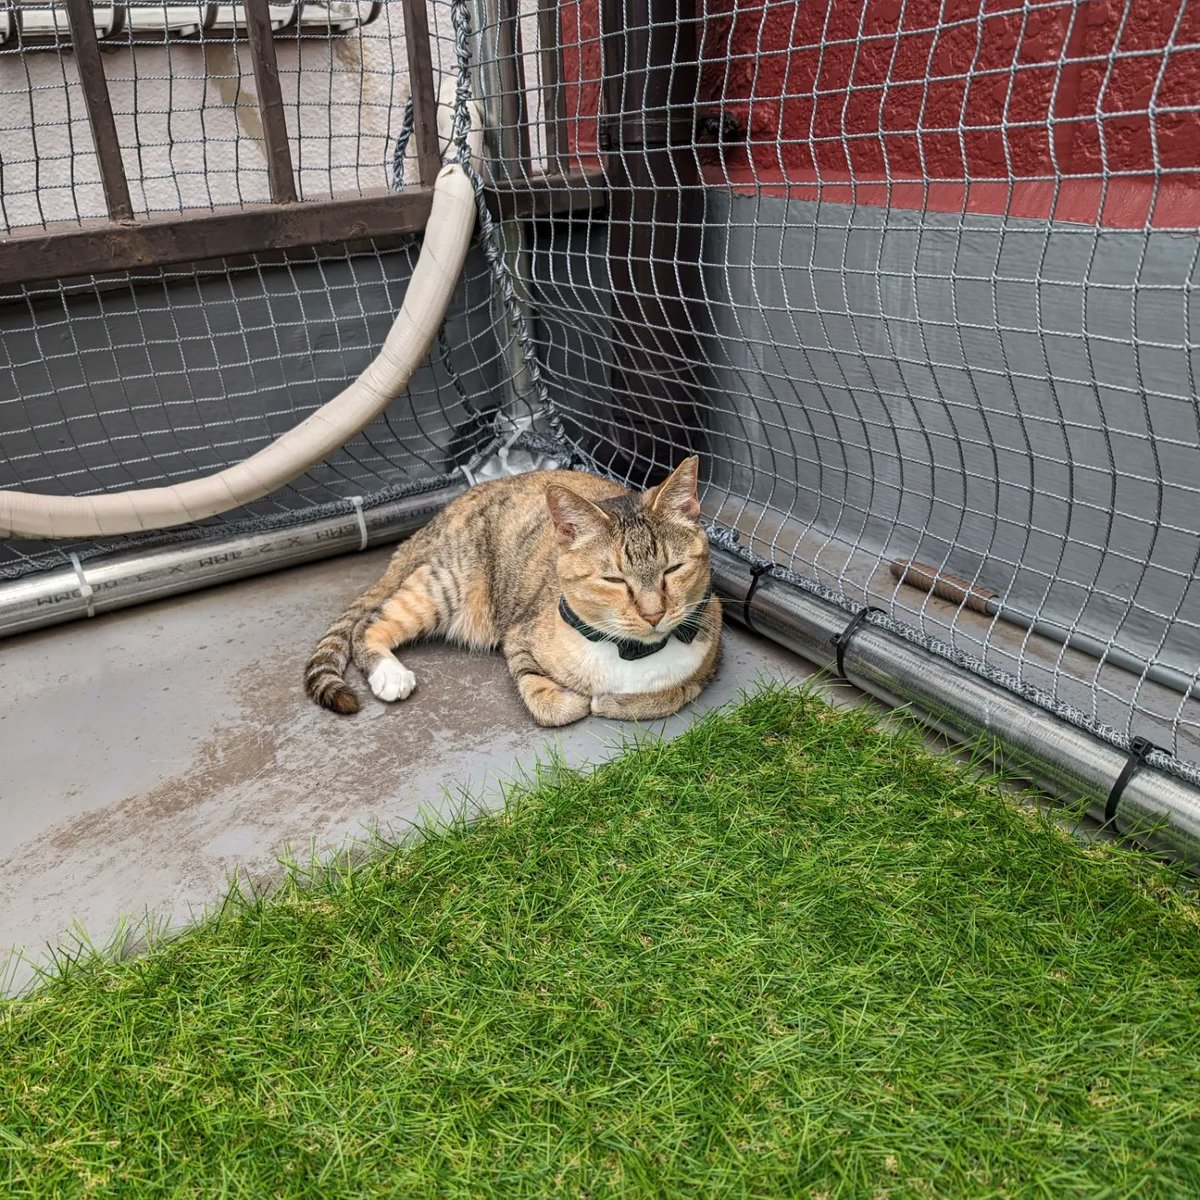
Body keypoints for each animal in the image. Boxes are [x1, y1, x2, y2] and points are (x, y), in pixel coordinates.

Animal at [309, 456, 720, 720]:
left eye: (674, 569)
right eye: (614, 580)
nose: (653, 614)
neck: (628, 652)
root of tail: (432, 522)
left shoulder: (709, 653)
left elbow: (669, 695)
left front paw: (614, 702)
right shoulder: (519, 637)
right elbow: (543, 695)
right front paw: (577, 701)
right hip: (446, 585)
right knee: (368, 624)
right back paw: (389, 673)